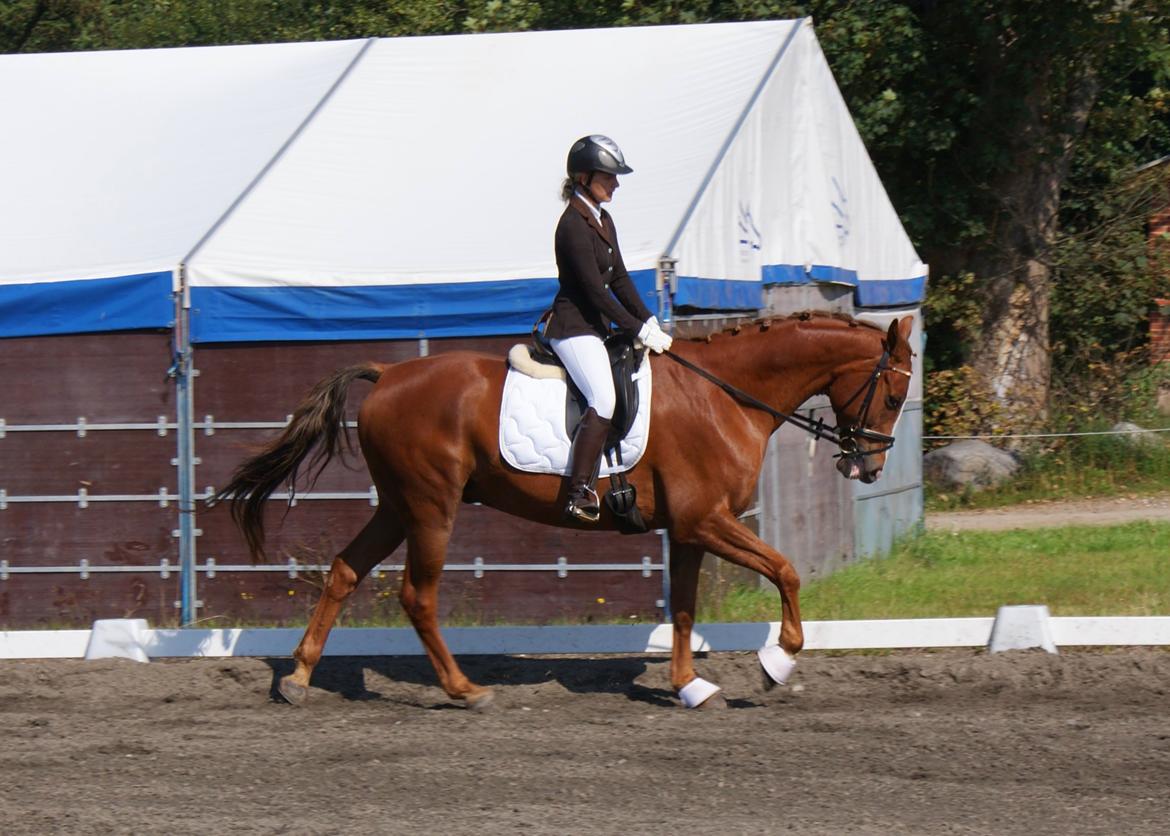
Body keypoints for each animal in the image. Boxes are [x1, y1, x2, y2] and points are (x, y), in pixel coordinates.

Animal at [217, 311, 912, 710]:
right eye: (893, 392)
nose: (869, 467)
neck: (726, 397)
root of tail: (388, 374)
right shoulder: (706, 522)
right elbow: (786, 571)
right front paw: (776, 663)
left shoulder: (689, 530)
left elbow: (686, 610)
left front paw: (689, 687)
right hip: (431, 506)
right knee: (417, 595)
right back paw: (464, 691)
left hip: (396, 505)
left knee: (343, 571)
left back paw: (299, 679)